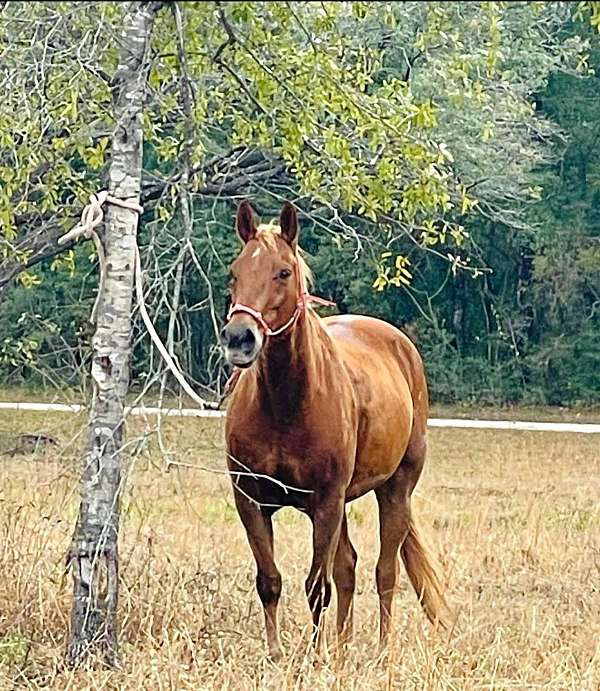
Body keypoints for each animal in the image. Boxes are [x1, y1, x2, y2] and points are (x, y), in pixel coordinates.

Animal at [220, 200, 446, 660]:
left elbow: (316, 587)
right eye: (235, 272)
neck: (286, 407)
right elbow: (270, 581)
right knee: (348, 567)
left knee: (384, 571)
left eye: (283, 272)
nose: (239, 338)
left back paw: (381, 649)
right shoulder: (250, 501)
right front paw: (278, 654)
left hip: (394, 489)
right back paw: (342, 646)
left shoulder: (325, 502)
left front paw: (315, 655)